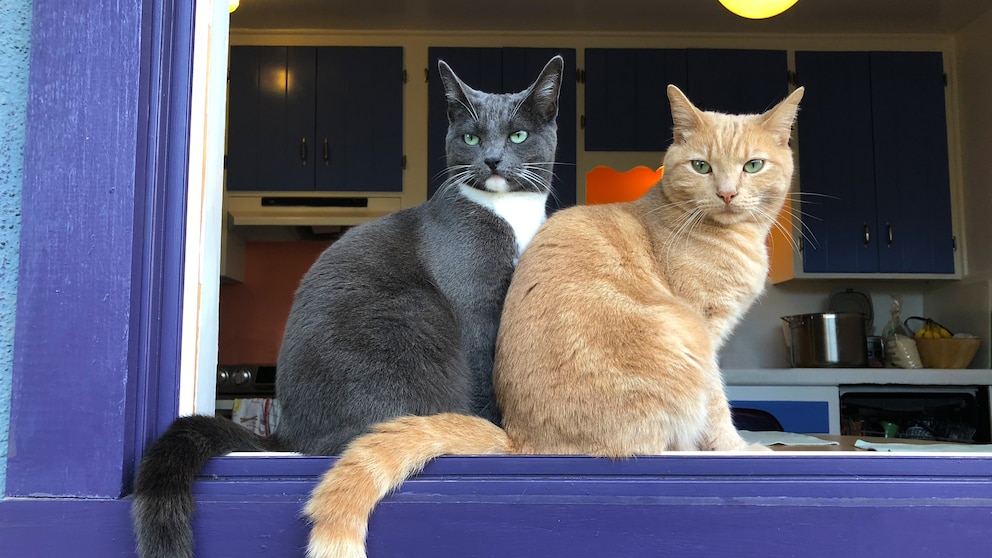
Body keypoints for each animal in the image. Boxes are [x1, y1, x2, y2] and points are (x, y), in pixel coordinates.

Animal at [133, 55, 564, 558]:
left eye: (518, 136)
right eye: (471, 137)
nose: (492, 159)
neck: (509, 213)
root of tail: (287, 434)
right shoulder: (474, 308)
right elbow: (483, 374)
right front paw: (494, 434)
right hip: (404, 328)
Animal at [304, 84, 808, 558]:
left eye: (753, 166)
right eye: (702, 166)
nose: (727, 192)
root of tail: (521, 443)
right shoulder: (703, 332)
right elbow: (718, 407)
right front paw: (738, 448)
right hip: (681, 341)